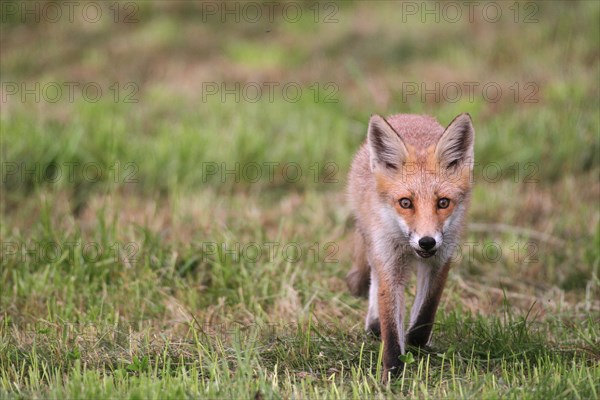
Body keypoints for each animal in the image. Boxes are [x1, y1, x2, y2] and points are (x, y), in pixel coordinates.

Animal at [344, 111, 476, 378]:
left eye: (443, 202)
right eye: (406, 203)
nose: (426, 242)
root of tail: (410, 116)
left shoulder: (441, 260)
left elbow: (425, 313)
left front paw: (415, 342)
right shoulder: (389, 260)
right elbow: (391, 327)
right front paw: (392, 374)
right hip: (373, 245)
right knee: (374, 278)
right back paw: (374, 323)